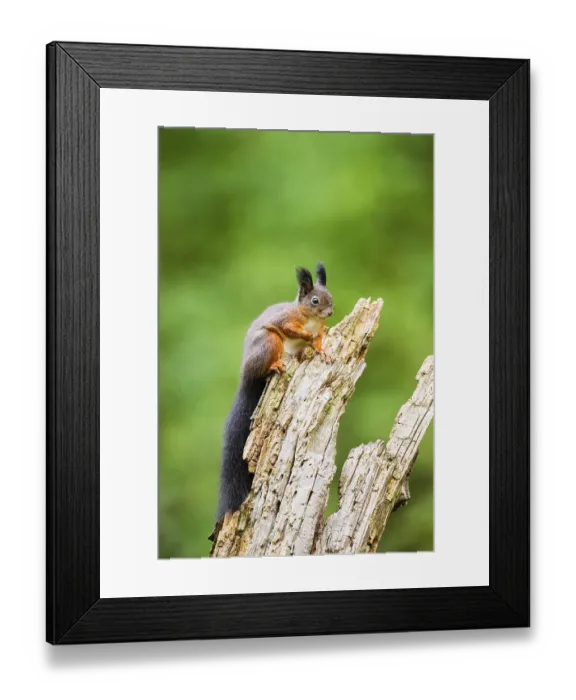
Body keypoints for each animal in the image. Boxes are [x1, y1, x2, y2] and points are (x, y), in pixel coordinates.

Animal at [216, 262, 333, 520]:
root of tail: (246, 376)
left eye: (330, 297)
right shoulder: (285, 320)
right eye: (314, 300)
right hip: (269, 342)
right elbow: (291, 328)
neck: (310, 319)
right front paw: (305, 334)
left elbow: (319, 341)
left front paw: (323, 351)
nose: (330, 313)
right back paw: (275, 365)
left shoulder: (321, 330)